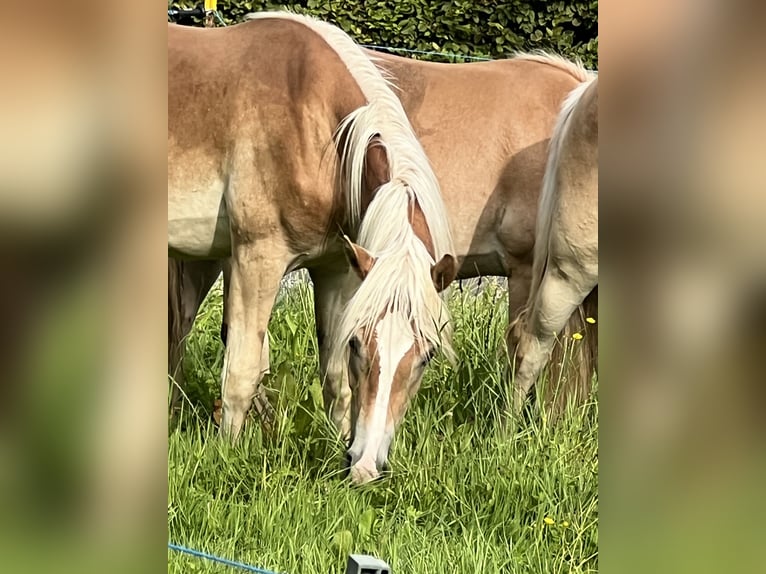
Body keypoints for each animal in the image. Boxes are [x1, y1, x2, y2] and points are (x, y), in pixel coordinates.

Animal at [167, 13, 456, 448]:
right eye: (360, 342)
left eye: (427, 354)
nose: (368, 458)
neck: (316, 128)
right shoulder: (258, 259)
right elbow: (242, 372)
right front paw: (227, 452)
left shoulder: (335, 270)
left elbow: (336, 380)